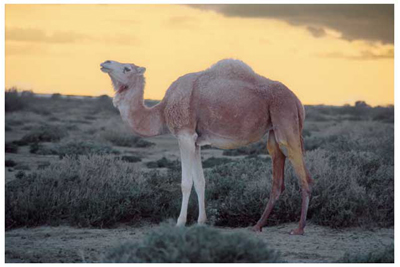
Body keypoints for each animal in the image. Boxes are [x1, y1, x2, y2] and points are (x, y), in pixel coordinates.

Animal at [99, 59, 312, 236]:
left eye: (127, 68)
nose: (105, 62)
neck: (161, 112)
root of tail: (298, 101)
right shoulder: (196, 141)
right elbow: (200, 182)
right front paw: (201, 221)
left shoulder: (184, 135)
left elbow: (186, 183)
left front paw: (180, 222)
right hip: (274, 133)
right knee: (278, 180)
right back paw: (257, 226)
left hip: (286, 121)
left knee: (305, 178)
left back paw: (299, 228)